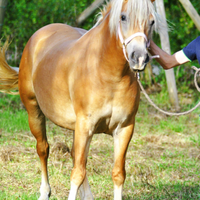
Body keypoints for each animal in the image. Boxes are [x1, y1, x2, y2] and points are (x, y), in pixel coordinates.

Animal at [0, 0, 160, 199]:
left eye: (152, 21)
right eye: (123, 17)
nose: (139, 58)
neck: (109, 74)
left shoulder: (124, 128)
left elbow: (117, 173)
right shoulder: (86, 125)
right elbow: (77, 173)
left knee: (76, 155)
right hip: (34, 111)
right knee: (43, 149)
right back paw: (44, 192)